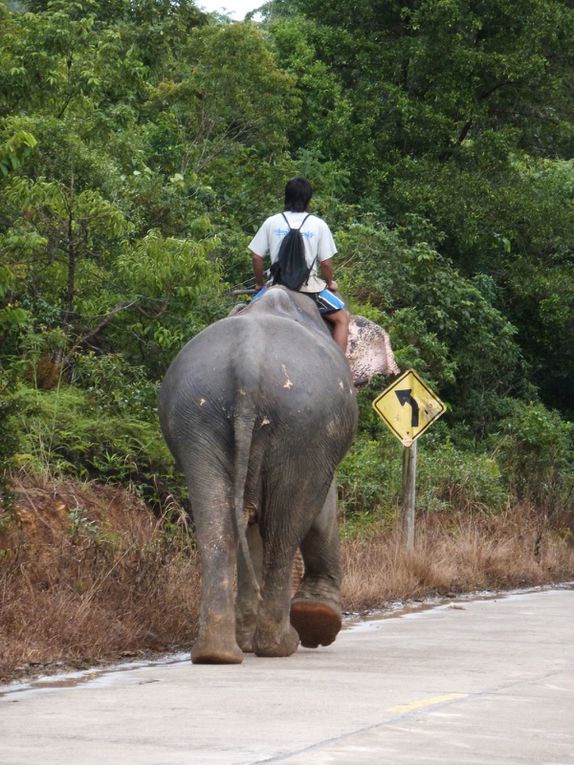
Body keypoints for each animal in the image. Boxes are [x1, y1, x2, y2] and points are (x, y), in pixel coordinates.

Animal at [160, 286, 398, 664]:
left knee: (218, 525)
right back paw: (282, 643)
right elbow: (324, 508)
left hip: (196, 418)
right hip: (303, 425)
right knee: (284, 528)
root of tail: (247, 364)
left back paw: (220, 653)